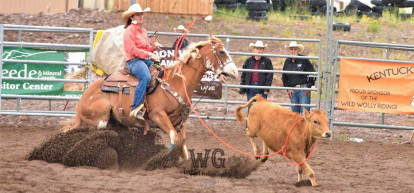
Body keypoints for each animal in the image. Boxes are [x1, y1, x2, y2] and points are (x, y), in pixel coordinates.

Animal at [68, 35, 239, 159]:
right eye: (222, 52)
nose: (235, 72)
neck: (176, 82)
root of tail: (83, 98)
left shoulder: (180, 121)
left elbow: (182, 143)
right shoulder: (158, 115)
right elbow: (174, 138)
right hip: (100, 118)